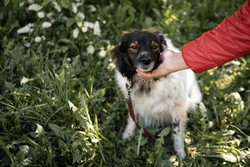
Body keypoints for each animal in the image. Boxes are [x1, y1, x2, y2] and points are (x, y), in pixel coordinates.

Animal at [112, 30, 202, 159]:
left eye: (154, 47)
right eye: (133, 47)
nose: (146, 60)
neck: (146, 83)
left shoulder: (179, 107)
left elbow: (177, 130)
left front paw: (179, 151)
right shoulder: (132, 101)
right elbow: (132, 119)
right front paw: (128, 134)